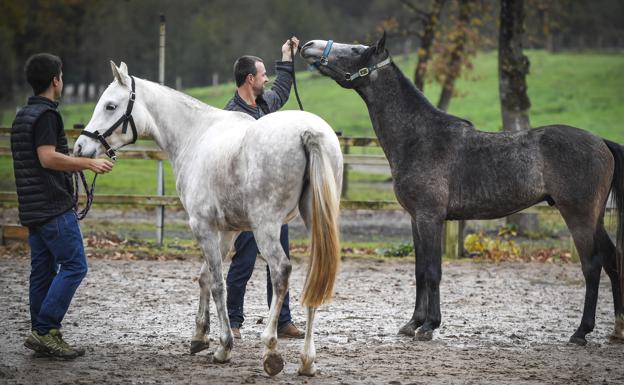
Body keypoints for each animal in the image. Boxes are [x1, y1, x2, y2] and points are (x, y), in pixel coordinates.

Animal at [76, 62, 346, 376]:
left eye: (110, 105)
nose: (80, 148)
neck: (196, 135)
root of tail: (309, 132)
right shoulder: (227, 230)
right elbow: (205, 277)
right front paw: (199, 336)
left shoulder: (202, 226)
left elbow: (218, 283)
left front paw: (224, 347)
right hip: (313, 222)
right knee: (316, 277)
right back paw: (306, 361)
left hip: (266, 228)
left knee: (281, 272)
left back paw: (270, 349)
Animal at [300, 34, 620, 344]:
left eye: (356, 49)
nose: (308, 46)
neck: (419, 137)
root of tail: (602, 142)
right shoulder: (416, 219)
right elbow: (419, 270)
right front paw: (412, 323)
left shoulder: (430, 217)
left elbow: (433, 271)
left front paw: (429, 326)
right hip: (595, 218)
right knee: (613, 259)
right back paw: (617, 330)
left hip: (579, 217)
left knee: (592, 266)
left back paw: (580, 333)